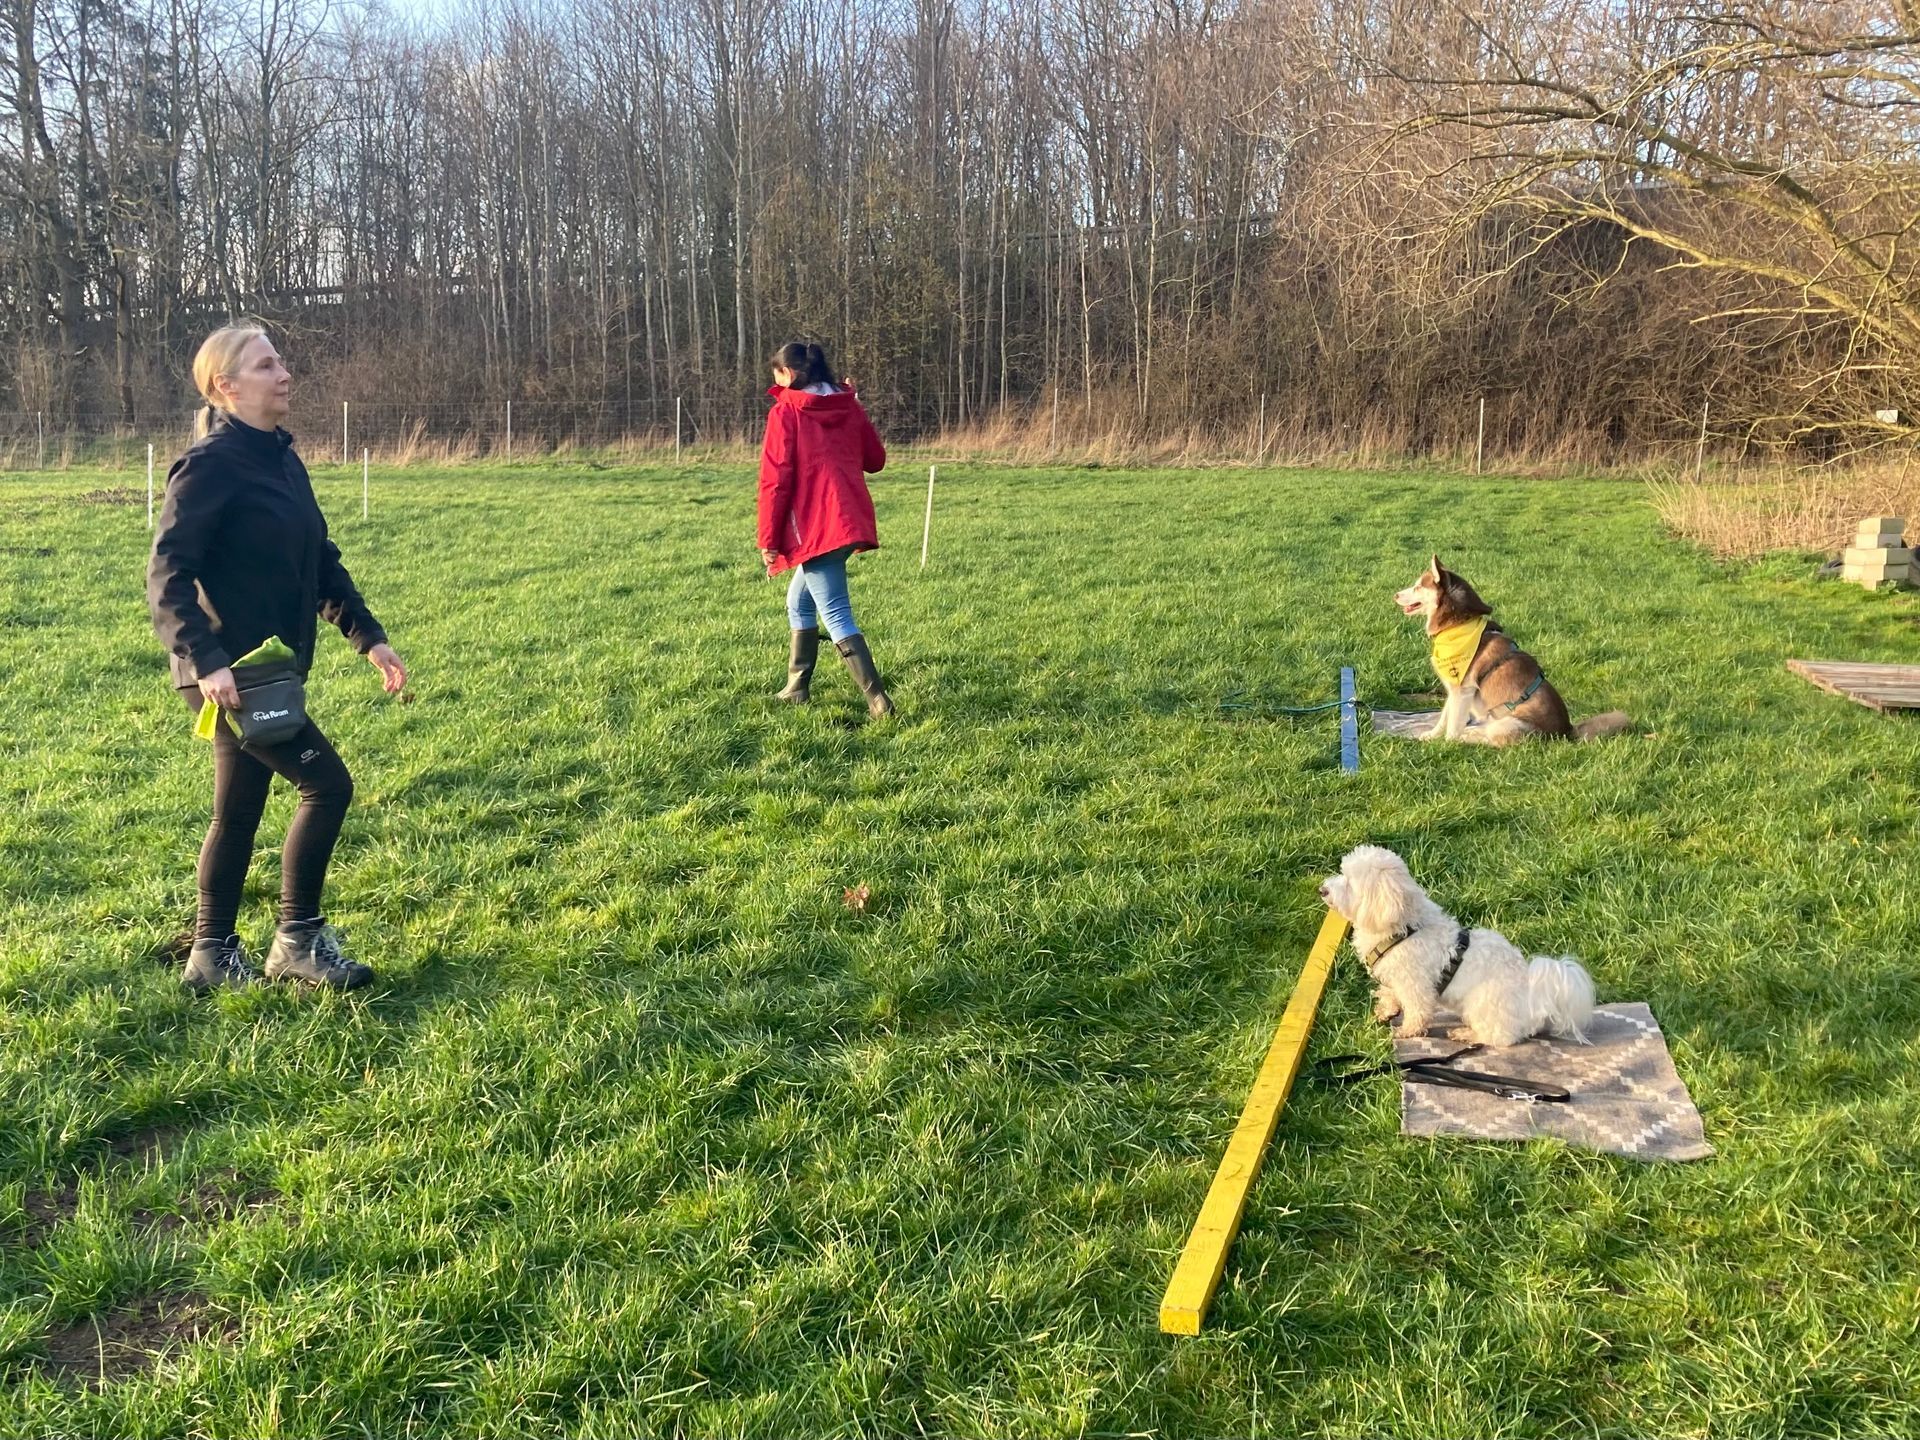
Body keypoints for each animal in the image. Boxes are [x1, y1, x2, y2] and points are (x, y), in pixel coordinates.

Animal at [1319, 845, 1594, 1048]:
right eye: (1342, 872)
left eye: (1349, 882)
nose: (1322, 889)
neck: (1403, 927)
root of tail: (1535, 998)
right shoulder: (1395, 978)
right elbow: (1391, 993)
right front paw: (1386, 1009)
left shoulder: (1416, 984)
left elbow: (1417, 1011)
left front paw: (1407, 1030)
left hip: (1482, 1006)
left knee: (1500, 1038)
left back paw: (1467, 1034)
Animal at [1394, 555, 1630, 746]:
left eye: (1418, 587)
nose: (1395, 595)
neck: (1458, 626)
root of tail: (1566, 732)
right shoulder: (1454, 690)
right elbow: (1444, 718)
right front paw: (1431, 736)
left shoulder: (1463, 690)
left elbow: (1453, 727)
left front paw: (1447, 744)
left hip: (1508, 723)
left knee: (1493, 739)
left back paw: (1468, 737)